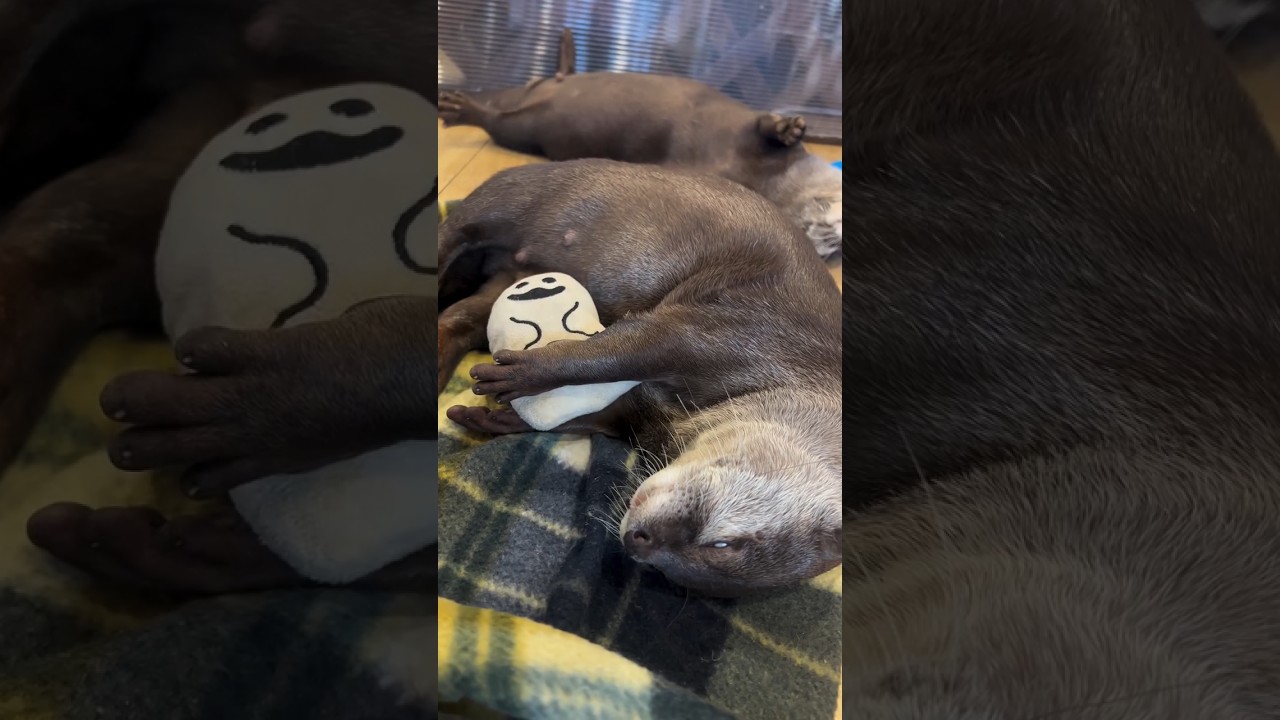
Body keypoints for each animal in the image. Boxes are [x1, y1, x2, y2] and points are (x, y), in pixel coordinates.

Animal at [438, 29, 842, 260]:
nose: (830, 238)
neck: (763, 177)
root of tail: (535, 91)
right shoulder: (744, 130)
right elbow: (762, 126)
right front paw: (789, 127)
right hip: (520, 122)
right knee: (495, 118)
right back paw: (460, 107)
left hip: (525, 123)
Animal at [438, 159, 841, 597]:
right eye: (724, 544)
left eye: (669, 574)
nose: (637, 542)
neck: (800, 377)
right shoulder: (737, 333)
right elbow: (620, 352)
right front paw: (518, 375)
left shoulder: (641, 416)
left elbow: (598, 416)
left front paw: (492, 417)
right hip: (496, 205)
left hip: (500, 278)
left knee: (457, 318)